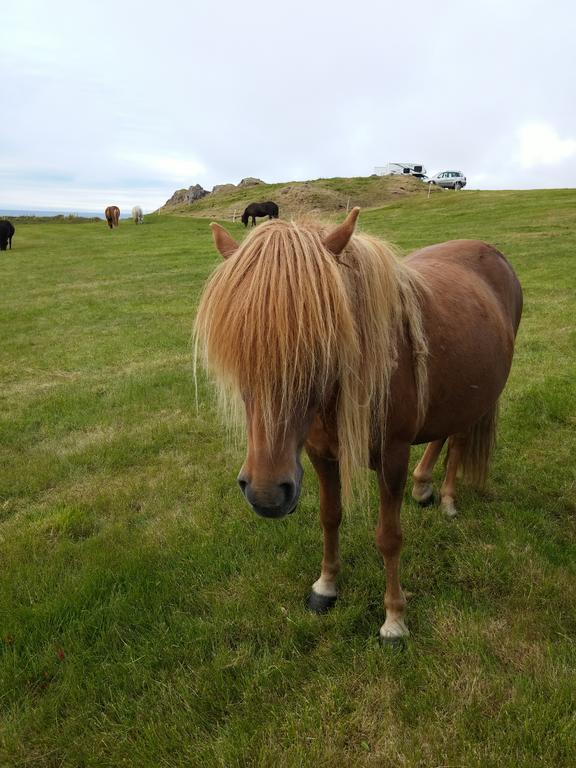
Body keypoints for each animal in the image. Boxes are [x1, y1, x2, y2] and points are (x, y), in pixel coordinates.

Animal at [196, 208, 524, 640]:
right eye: (238, 350)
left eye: (322, 344)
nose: (265, 495)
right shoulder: (318, 453)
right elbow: (329, 516)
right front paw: (326, 586)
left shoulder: (391, 457)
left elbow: (389, 537)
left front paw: (394, 619)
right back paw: (424, 486)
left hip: (478, 395)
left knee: (458, 439)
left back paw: (448, 499)